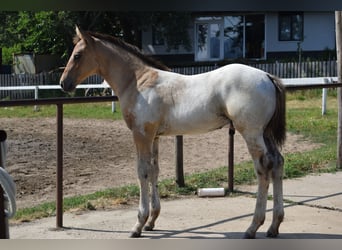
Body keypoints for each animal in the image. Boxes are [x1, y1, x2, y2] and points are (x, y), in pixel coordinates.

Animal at [60, 26, 286, 238]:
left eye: (77, 55)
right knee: (277, 162)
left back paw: (253, 227)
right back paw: (274, 226)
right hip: (265, 134)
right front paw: (151, 221)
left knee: (263, 168)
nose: (64, 83)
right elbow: (154, 171)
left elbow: (142, 171)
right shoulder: (154, 137)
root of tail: (267, 76)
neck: (138, 81)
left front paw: (138, 225)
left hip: (251, 133)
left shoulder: (141, 134)